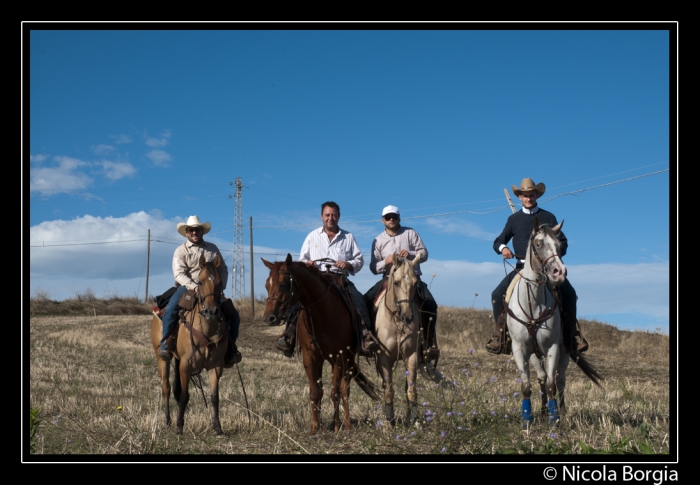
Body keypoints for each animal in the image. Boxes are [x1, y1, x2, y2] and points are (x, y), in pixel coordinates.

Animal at [150, 253, 230, 434]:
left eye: (220, 283)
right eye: (200, 282)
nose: (211, 312)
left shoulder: (216, 365)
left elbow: (214, 397)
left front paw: (218, 427)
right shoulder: (186, 364)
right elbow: (185, 396)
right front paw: (179, 426)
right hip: (161, 359)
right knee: (166, 388)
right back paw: (168, 421)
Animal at [262, 253, 380, 434]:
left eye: (282, 285)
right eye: (267, 285)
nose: (269, 318)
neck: (322, 313)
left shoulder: (338, 357)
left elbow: (335, 392)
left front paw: (336, 426)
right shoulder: (310, 357)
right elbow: (315, 393)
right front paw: (314, 428)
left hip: (348, 359)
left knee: (345, 389)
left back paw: (347, 424)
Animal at [374, 251, 424, 426]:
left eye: (415, 283)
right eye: (396, 283)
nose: (407, 317)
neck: (396, 321)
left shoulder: (411, 355)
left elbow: (411, 389)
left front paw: (414, 420)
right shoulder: (384, 358)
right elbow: (389, 390)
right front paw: (390, 421)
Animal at [504, 217, 600, 430]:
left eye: (559, 245)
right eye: (539, 244)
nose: (559, 272)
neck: (533, 303)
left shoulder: (553, 347)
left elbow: (551, 386)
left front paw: (554, 421)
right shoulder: (519, 348)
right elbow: (527, 385)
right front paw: (527, 421)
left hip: (564, 352)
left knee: (559, 380)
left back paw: (560, 413)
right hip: (534, 354)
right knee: (541, 378)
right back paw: (541, 412)